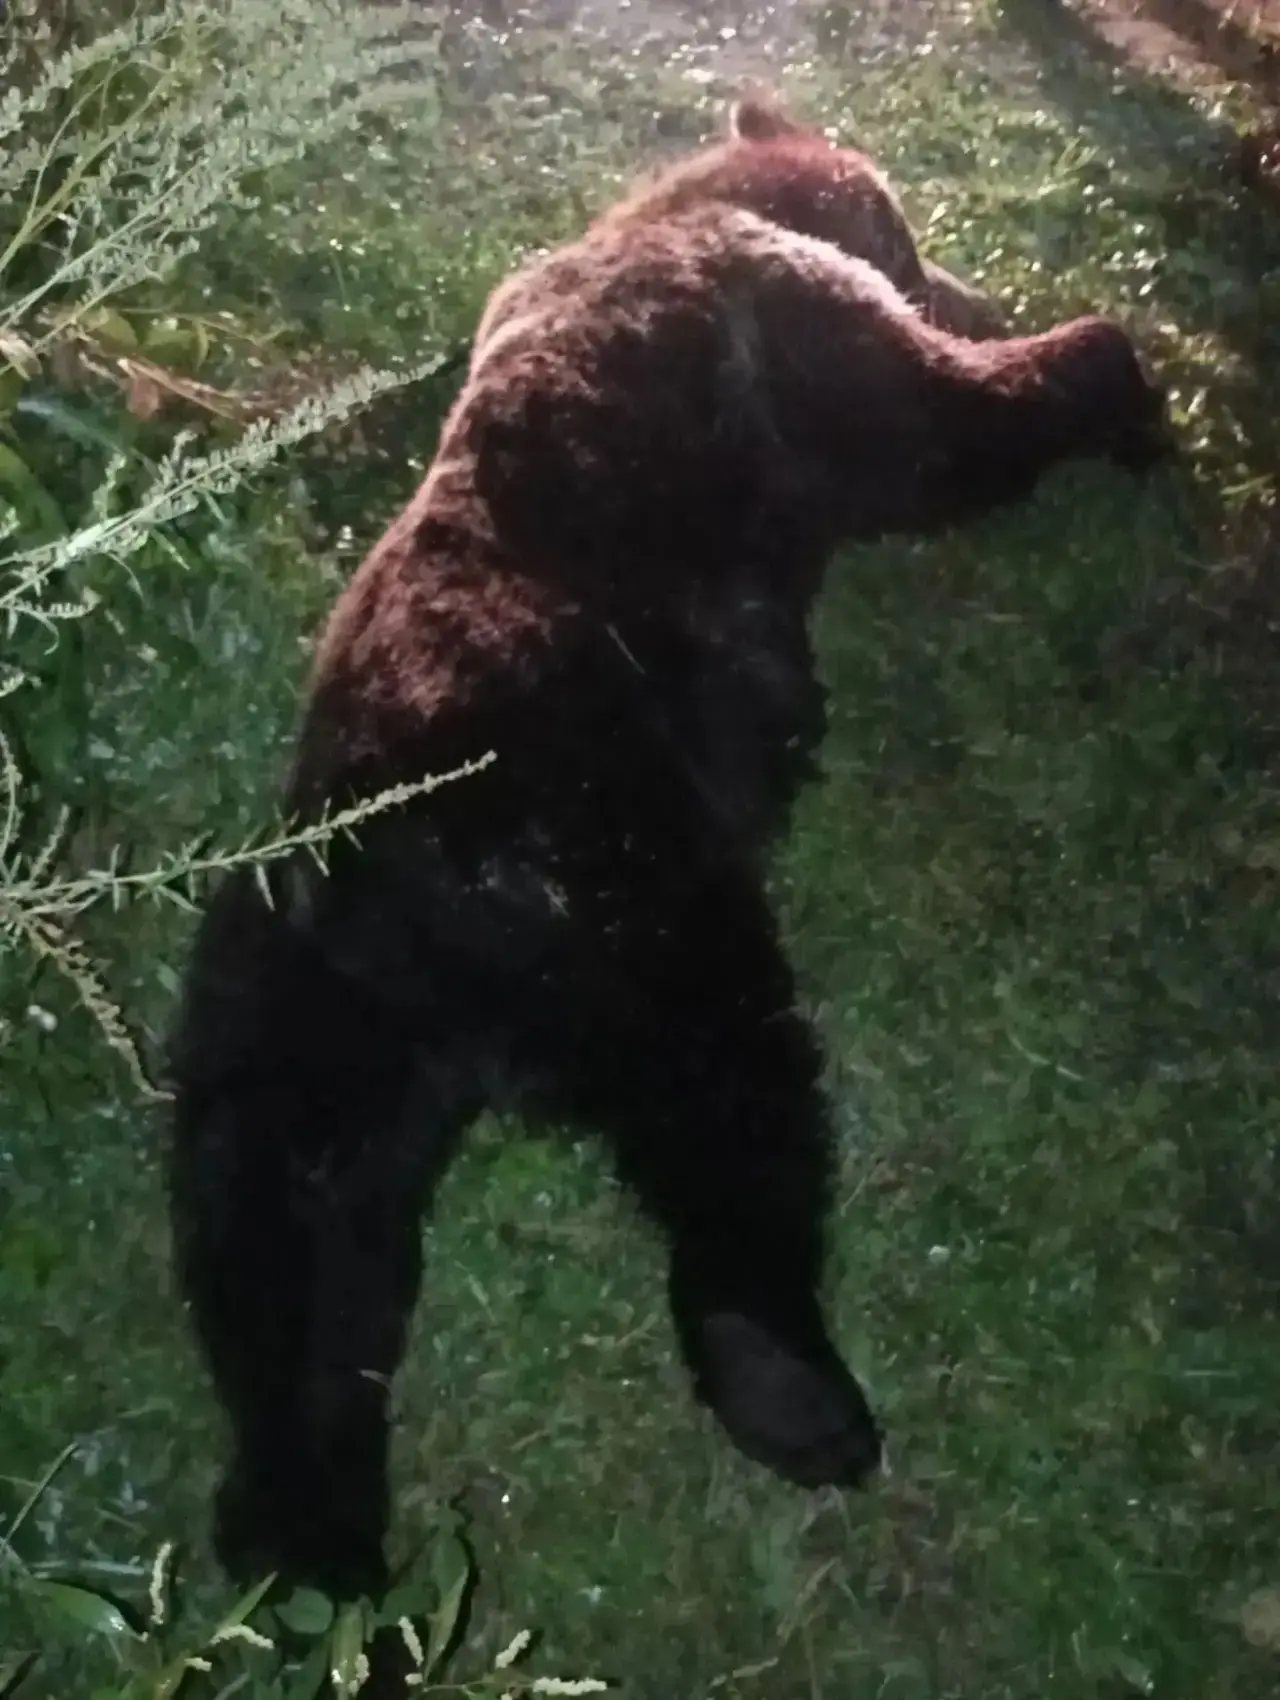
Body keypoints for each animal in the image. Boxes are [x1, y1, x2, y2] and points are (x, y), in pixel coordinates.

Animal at [165, 94, 1173, 1604]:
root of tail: (399, 890)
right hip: (635, 894)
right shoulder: (801, 349)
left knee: (281, 1257)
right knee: (734, 1109)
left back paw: (306, 1536)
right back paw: (791, 1385)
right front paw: (1115, 387)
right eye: (906, 237)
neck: (674, 218)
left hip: (281, 1020)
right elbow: (945, 426)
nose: (958, 279)